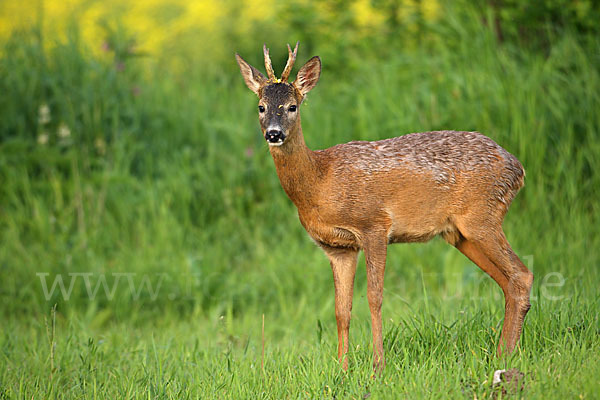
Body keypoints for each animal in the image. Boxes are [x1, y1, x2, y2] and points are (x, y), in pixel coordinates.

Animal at [236, 42, 536, 370]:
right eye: (261, 107)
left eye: (292, 106)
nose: (274, 133)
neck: (320, 181)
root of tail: (518, 168)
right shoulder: (337, 247)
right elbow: (341, 309)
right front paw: (342, 367)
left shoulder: (374, 226)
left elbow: (374, 297)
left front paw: (377, 365)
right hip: (460, 234)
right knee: (507, 281)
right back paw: (502, 353)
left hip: (483, 217)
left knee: (522, 275)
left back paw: (505, 355)